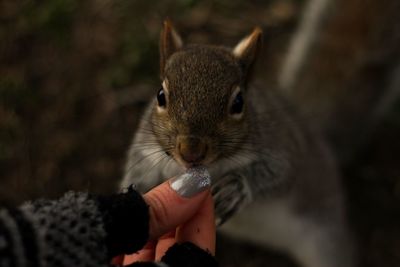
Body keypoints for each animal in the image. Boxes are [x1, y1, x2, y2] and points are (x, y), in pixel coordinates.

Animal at [121, 20, 354, 267]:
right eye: (160, 95)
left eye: (239, 102)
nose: (191, 151)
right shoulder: (145, 150)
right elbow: (138, 173)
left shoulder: (280, 144)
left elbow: (279, 173)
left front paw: (236, 186)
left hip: (324, 234)